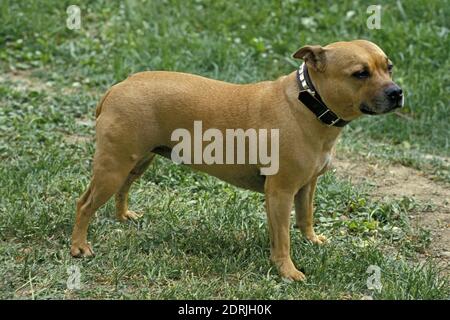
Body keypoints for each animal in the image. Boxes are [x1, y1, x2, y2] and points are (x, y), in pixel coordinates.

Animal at [71, 39, 404, 280]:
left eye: (388, 67)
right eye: (360, 73)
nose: (397, 92)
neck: (309, 102)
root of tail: (117, 87)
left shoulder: (307, 185)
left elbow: (306, 216)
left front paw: (311, 240)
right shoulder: (280, 193)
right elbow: (282, 238)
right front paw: (287, 270)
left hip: (136, 162)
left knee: (122, 190)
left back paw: (122, 216)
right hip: (113, 167)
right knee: (85, 204)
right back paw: (79, 246)